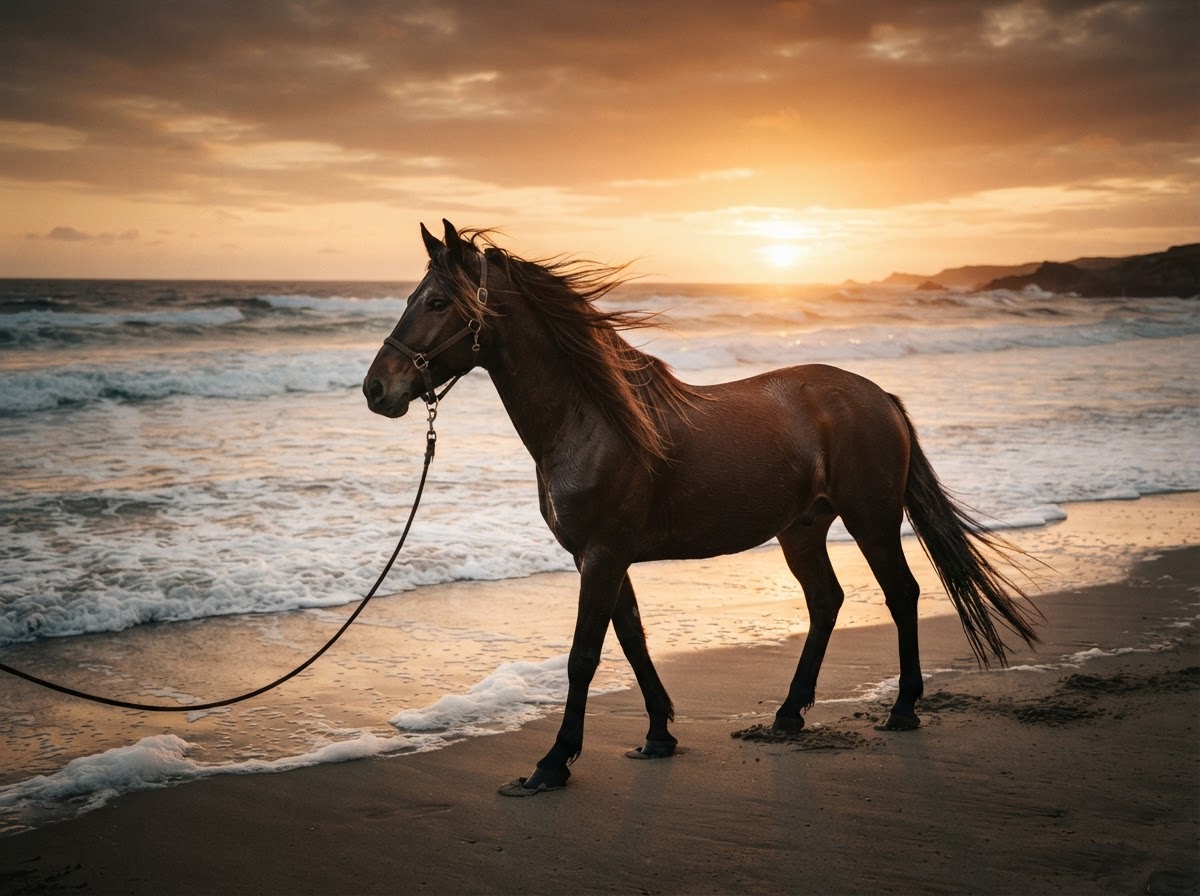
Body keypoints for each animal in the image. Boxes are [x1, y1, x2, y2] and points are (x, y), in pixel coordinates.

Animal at [363, 219, 1041, 796]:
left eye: (437, 302)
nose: (377, 388)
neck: (594, 421)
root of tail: (880, 397)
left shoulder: (602, 557)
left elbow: (585, 657)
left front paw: (552, 764)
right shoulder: (602, 558)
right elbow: (633, 639)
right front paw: (658, 734)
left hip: (871, 521)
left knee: (901, 594)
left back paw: (902, 709)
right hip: (802, 530)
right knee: (826, 601)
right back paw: (788, 714)